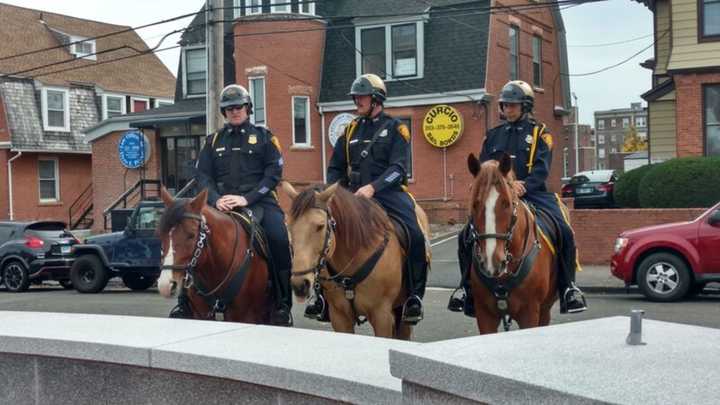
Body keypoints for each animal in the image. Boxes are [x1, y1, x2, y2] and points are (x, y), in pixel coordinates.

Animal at [464, 152, 560, 332]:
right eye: (475, 204)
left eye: (507, 203)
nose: (492, 262)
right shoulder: (485, 314)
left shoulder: (530, 312)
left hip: (545, 308)